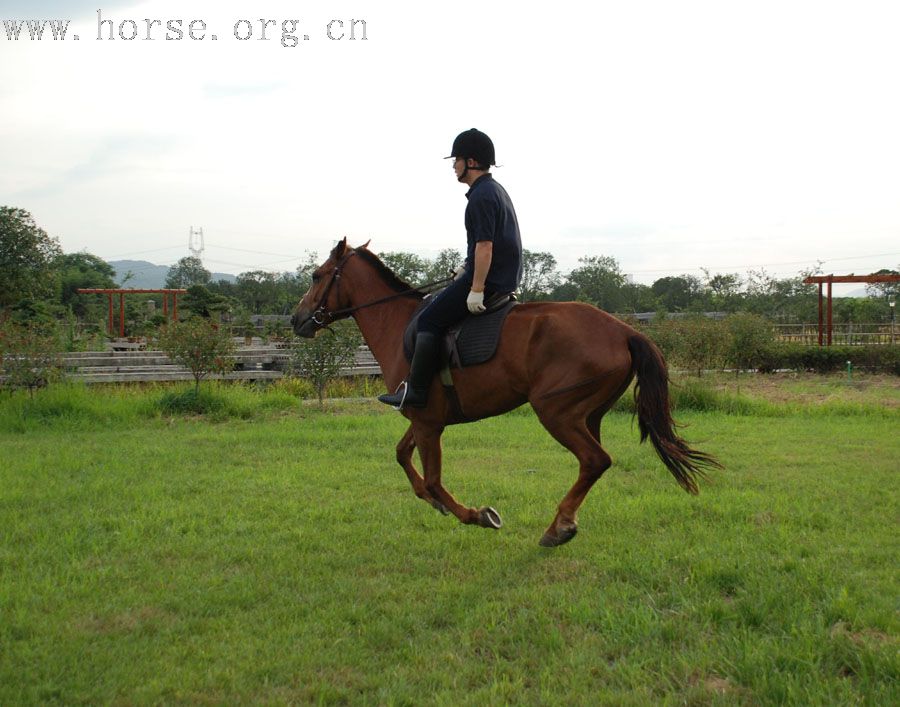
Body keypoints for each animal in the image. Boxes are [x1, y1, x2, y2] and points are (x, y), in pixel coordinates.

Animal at [292, 242, 720, 548]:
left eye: (316, 275)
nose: (297, 320)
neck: (399, 326)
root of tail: (625, 330)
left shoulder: (428, 423)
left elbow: (433, 480)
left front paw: (477, 515)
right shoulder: (423, 417)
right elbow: (402, 457)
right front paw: (435, 503)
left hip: (556, 412)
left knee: (595, 460)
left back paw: (558, 528)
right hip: (588, 415)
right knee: (592, 465)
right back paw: (565, 522)